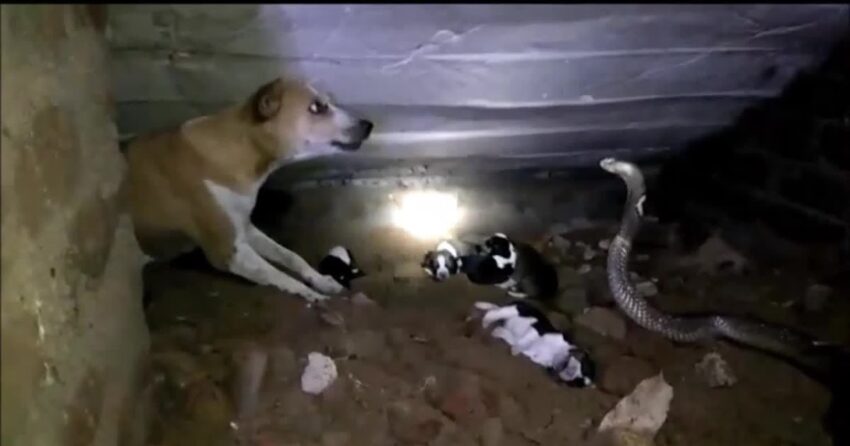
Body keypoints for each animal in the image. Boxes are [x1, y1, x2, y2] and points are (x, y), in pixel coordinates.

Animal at [121, 76, 372, 302]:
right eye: (317, 107)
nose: (369, 125)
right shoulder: (230, 252)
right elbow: (278, 274)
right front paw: (311, 294)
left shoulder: (245, 227)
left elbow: (291, 256)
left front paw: (321, 280)